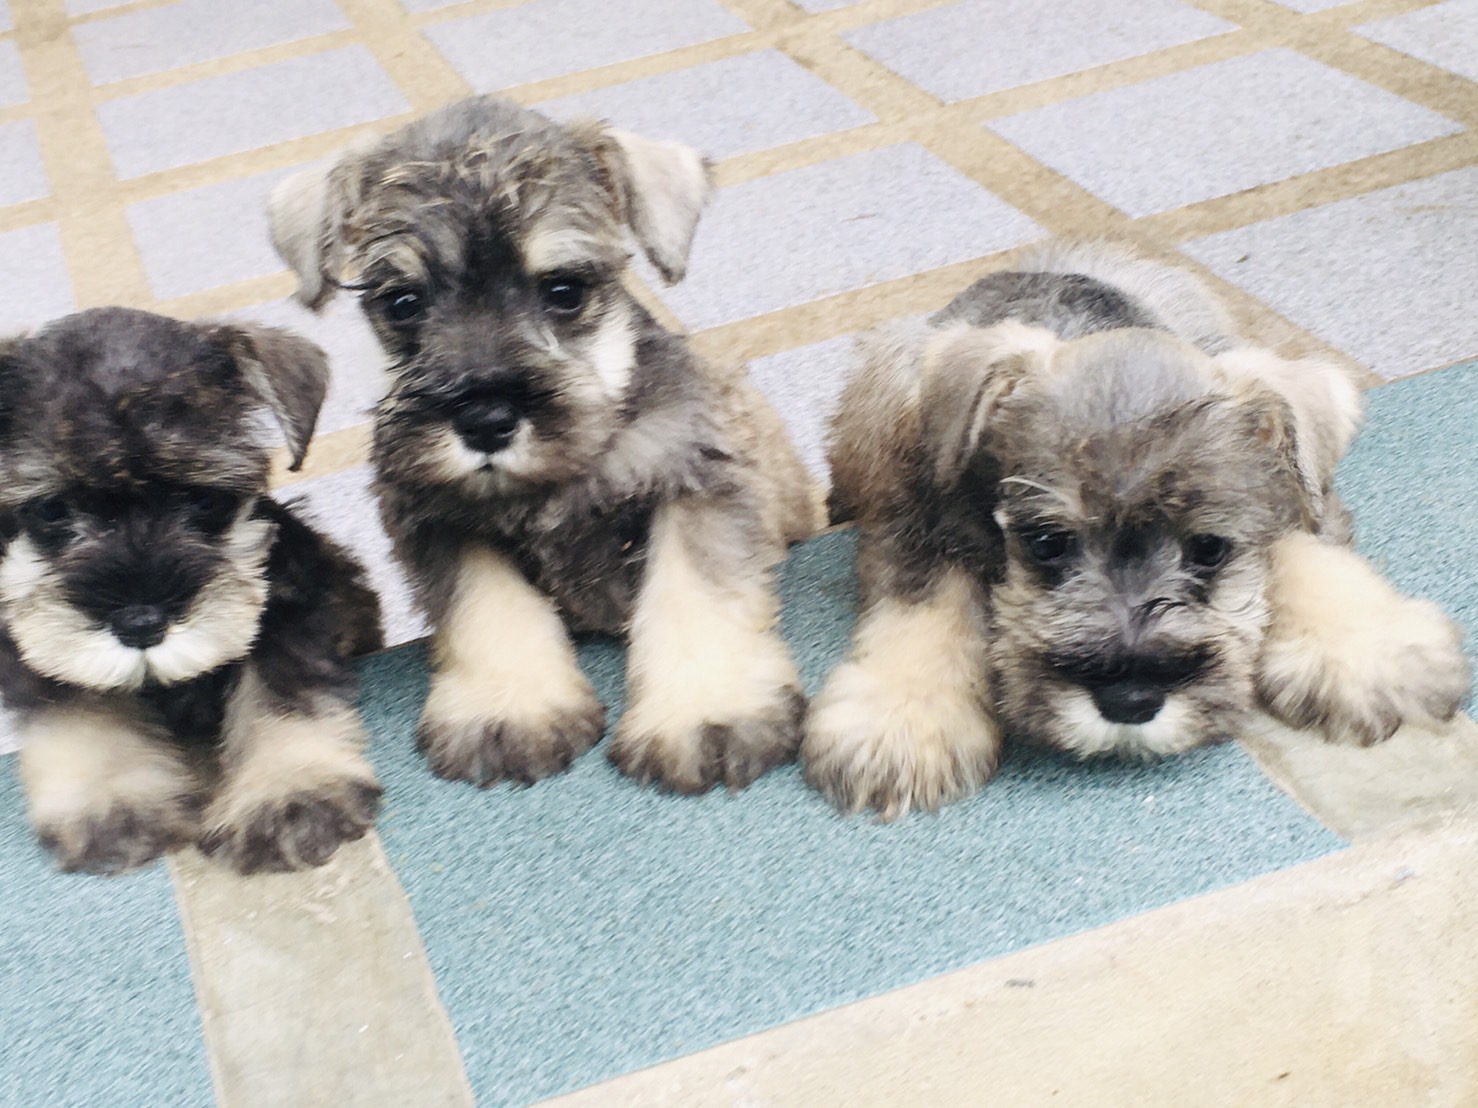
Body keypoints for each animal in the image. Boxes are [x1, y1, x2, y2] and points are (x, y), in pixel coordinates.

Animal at [0, 308, 384, 874]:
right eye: (51, 508)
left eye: (201, 498)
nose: (140, 623)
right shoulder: (34, 641)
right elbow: (77, 706)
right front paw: (112, 801)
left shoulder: (290, 603)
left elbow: (282, 692)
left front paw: (289, 794)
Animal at [267, 95, 823, 794]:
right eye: (402, 303)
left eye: (563, 291)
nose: (485, 419)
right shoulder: (441, 519)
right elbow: (485, 606)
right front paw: (510, 710)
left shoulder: (693, 478)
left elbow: (695, 588)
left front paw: (708, 710)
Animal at [804, 240, 1471, 818]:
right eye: (1047, 543)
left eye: (1209, 549)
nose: (1131, 701)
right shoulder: (923, 514)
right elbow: (925, 597)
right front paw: (901, 719)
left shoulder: (1277, 486)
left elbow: (1301, 541)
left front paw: (1366, 649)